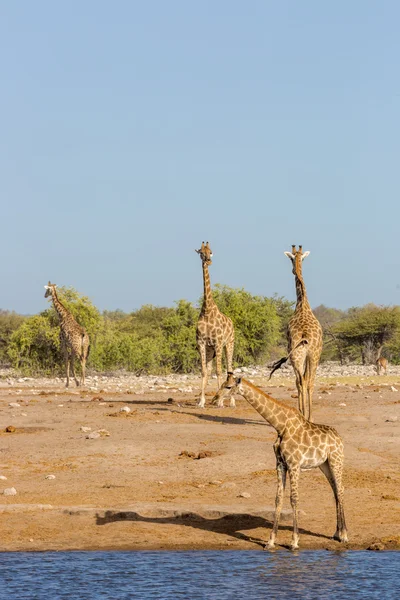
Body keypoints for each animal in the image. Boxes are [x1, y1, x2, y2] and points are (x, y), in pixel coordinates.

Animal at [212, 372, 346, 552]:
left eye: (228, 386)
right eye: (222, 385)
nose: (214, 399)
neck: (280, 425)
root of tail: (339, 438)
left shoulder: (294, 464)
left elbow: (294, 498)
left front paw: (294, 541)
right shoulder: (280, 464)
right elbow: (278, 499)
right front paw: (270, 541)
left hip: (336, 460)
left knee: (340, 489)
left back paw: (344, 535)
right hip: (323, 465)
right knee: (335, 491)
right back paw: (336, 533)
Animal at [268, 244, 322, 422]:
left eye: (292, 259)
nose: (293, 270)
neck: (302, 303)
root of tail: (305, 336)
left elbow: (298, 381)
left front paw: (301, 410)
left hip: (297, 356)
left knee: (301, 380)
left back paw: (304, 414)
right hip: (312, 355)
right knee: (308, 381)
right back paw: (310, 417)